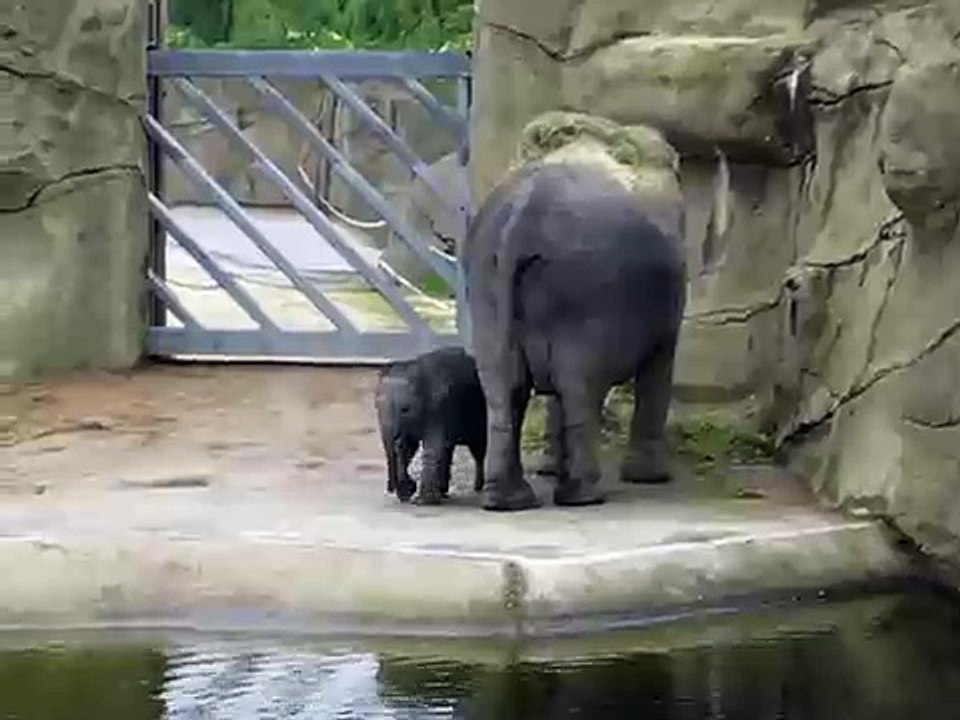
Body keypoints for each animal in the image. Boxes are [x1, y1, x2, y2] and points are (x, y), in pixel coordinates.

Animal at [374, 346, 487, 505]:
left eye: (405, 409)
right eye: (376, 407)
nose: (392, 489)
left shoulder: (440, 407)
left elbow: (435, 445)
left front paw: (423, 498)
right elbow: (413, 446)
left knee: (478, 447)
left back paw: (477, 487)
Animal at [463, 160, 686, 512]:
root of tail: (523, 219)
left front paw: (551, 470)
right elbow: (658, 368)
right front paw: (650, 478)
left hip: (486, 283)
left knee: (506, 386)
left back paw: (509, 501)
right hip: (586, 296)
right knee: (579, 386)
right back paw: (584, 497)